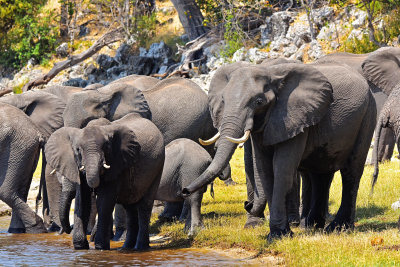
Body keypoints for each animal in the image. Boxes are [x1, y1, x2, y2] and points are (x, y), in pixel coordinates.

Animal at [45, 114, 166, 251]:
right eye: (77, 149)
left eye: (106, 147)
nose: (67, 229)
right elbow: (82, 200)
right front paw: (80, 247)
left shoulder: (117, 163)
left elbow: (104, 200)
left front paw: (100, 247)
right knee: (130, 208)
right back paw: (126, 248)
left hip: (158, 167)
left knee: (144, 206)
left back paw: (140, 248)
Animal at [183, 61, 376, 240]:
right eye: (223, 100)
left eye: (258, 102)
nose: (184, 190)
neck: (272, 74)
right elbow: (265, 170)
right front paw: (278, 233)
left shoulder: (293, 118)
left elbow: (281, 169)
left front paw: (278, 235)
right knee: (321, 173)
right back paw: (312, 226)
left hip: (367, 116)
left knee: (351, 172)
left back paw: (338, 228)